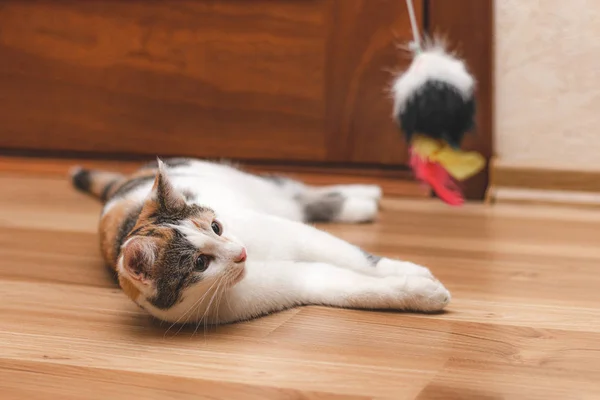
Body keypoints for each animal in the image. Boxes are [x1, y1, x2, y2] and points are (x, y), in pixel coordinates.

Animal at [70, 156, 450, 324]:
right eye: (200, 263)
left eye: (216, 227)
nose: (240, 253)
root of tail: (125, 181)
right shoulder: (299, 280)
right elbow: (354, 287)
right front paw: (423, 292)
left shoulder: (297, 234)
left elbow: (359, 259)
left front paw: (412, 270)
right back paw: (363, 201)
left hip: (257, 187)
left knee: (296, 191)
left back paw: (365, 193)